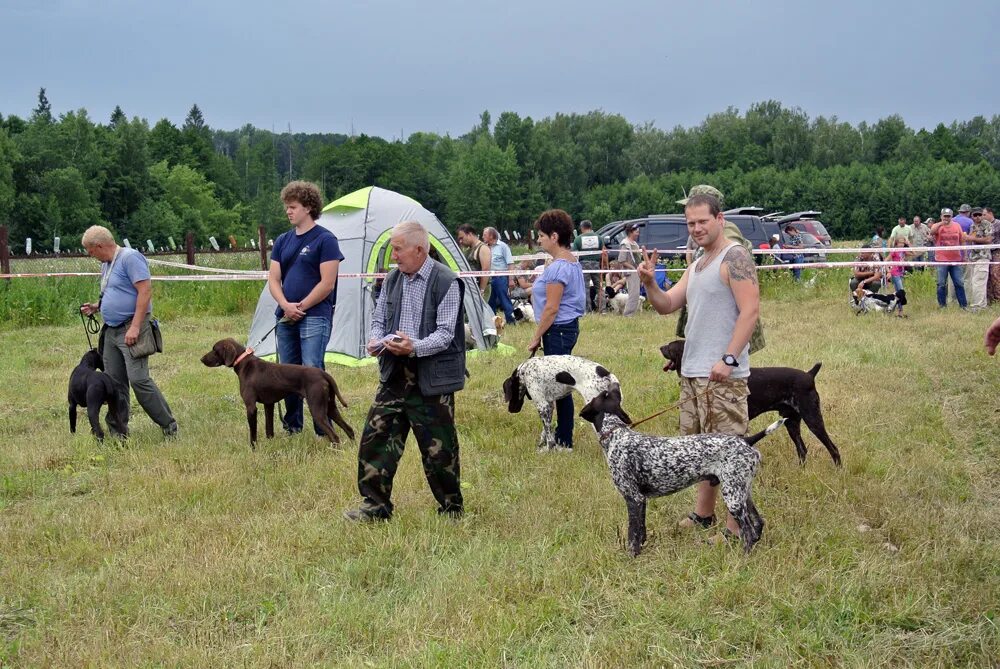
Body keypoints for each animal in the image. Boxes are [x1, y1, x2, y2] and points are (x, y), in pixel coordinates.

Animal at [200, 340, 356, 448]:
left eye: (214, 350)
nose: (201, 359)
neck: (244, 363)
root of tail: (323, 374)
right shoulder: (269, 404)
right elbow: (269, 430)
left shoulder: (251, 407)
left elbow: (253, 433)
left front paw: (253, 448)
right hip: (330, 407)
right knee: (349, 429)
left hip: (317, 410)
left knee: (334, 436)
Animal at [584, 388, 784, 556]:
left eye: (605, 394)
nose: (614, 387)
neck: (615, 434)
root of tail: (746, 441)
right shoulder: (641, 500)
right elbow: (641, 531)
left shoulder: (634, 498)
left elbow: (633, 534)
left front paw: (632, 556)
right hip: (743, 492)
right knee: (758, 524)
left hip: (733, 496)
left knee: (748, 531)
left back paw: (742, 559)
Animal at [660, 340, 840, 464]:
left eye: (670, 346)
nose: (660, 347)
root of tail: (809, 375)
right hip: (791, 423)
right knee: (802, 450)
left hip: (813, 419)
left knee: (833, 448)